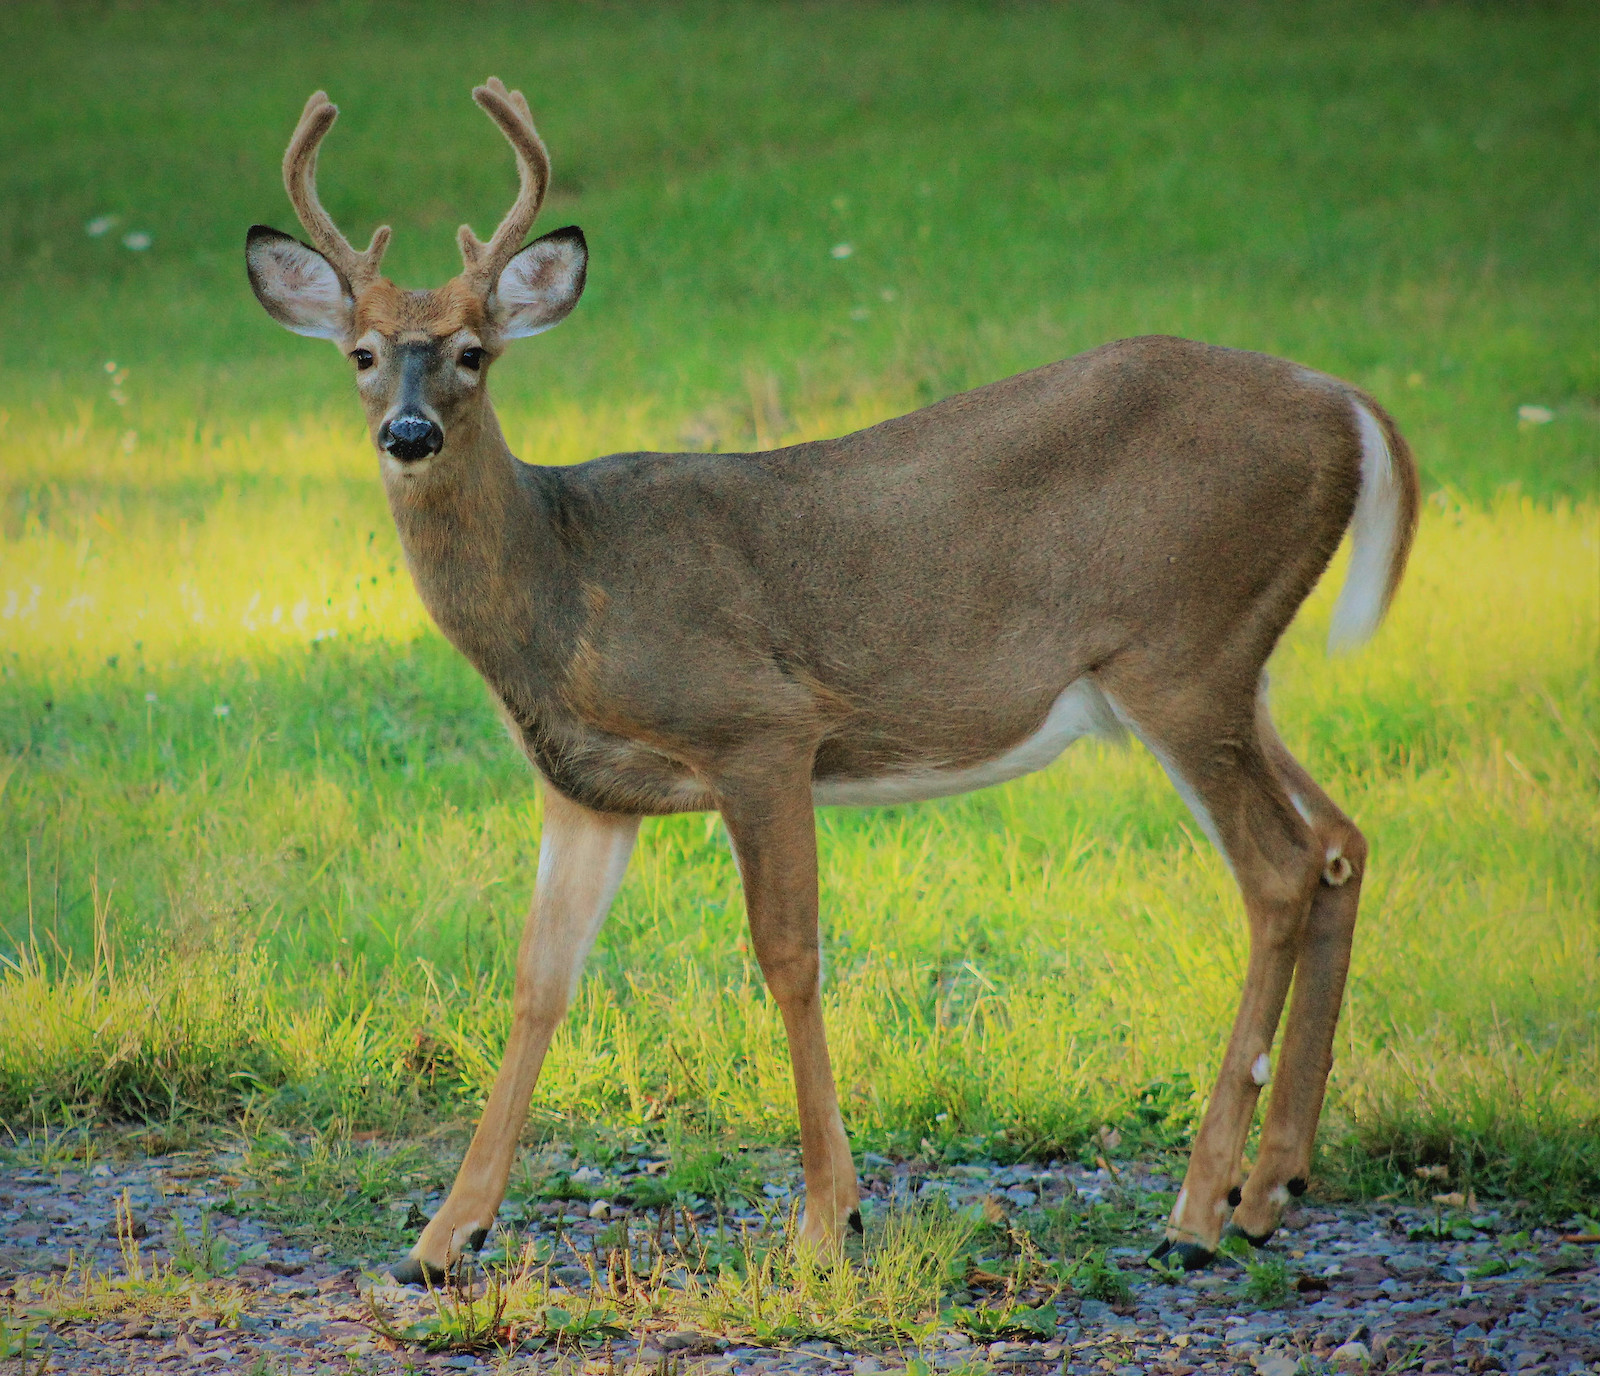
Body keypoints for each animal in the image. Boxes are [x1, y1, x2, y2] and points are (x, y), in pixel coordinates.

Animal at [243, 78, 1420, 1280]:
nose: (410, 432)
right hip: (1232, 666)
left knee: (1278, 869)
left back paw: (1195, 1212)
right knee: (1338, 842)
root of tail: (1348, 404)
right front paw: (445, 1236)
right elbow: (539, 979)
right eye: (361, 352)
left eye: (474, 350)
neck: (566, 576)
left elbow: (787, 955)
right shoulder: (587, 789)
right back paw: (1269, 1188)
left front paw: (826, 1220)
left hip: (1180, 648)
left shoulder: (758, 728)